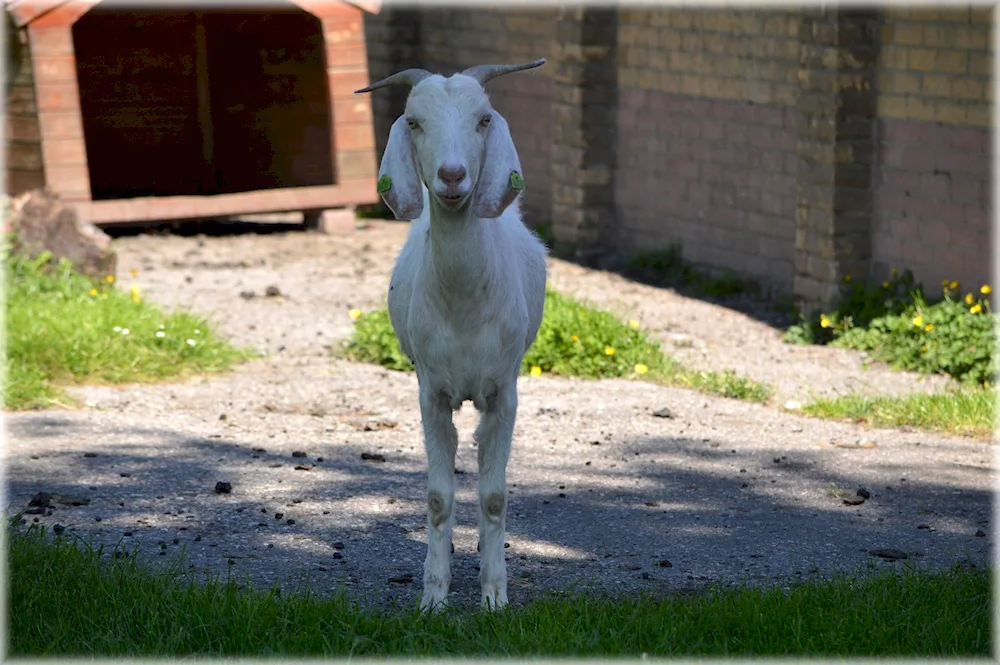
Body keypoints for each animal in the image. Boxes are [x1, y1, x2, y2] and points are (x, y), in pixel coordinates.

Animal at [358, 59, 552, 608]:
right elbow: (439, 498)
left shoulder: (504, 391)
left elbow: (493, 496)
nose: (451, 176)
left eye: (484, 119)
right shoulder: (431, 392)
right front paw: (433, 598)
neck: (465, 302)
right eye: (414, 122)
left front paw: (494, 597)